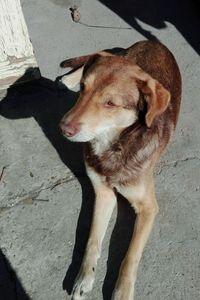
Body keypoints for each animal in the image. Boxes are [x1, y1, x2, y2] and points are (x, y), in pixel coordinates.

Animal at [59, 40, 181, 300]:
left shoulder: (148, 208)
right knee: (97, 55)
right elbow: (92, 241)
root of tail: (153, 41)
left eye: (110, 104)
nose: (63, 129)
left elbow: (131, 255)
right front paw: (83, 278)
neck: (113, 145)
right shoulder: (103, 193)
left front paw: (122, 290)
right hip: (117, 54)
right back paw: (67, 78)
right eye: (84, 88)